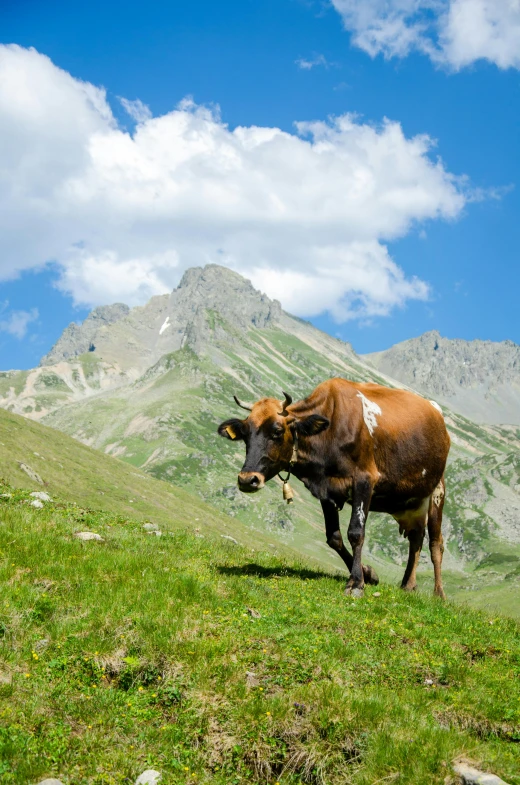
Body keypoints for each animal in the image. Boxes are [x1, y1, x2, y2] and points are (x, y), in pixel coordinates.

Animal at [217, 376, 448, 596]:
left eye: (277, 430)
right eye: (245, 434)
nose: (247, 479)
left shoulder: (364, 480)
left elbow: (356, 532)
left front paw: (356, 583)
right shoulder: (325, 489)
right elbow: (334, 538)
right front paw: (368, 574)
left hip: (437, 490)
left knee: (435, 543)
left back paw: (438, 594)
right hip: (409, 503)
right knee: (416, 538)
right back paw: (408, 585)